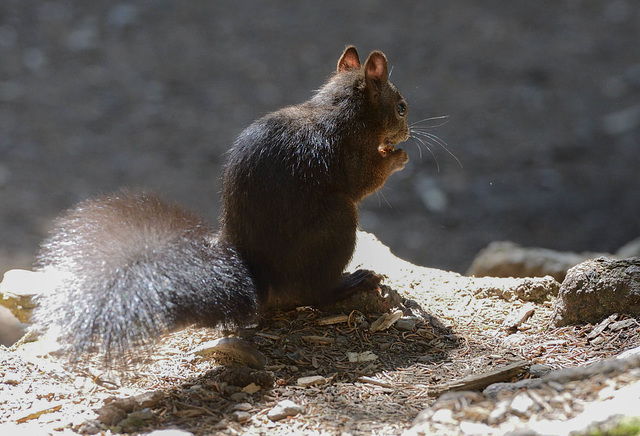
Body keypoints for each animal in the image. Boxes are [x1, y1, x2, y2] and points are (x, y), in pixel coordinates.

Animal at [32, 45, 410, 364]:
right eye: (401, 107)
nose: (407, 133)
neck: (342, 109)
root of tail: (262, 282)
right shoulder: (350, 154)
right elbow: (364, 182)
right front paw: (397, 158)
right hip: (337, 221)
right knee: (313, 292)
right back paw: (354, 281)